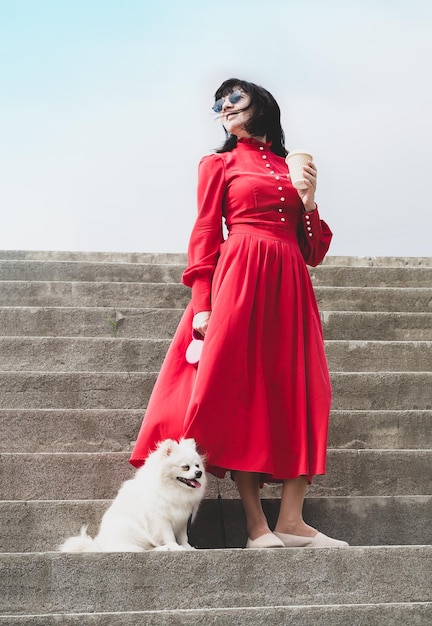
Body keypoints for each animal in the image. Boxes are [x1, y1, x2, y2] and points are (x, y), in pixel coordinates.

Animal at [60, 436, 207, 548]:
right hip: (132, 530)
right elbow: (169, 535)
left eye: (197, 466)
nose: (199, 473)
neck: (174, 489)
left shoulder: (182, 518)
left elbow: (183, 537)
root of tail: (100, 546)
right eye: (185, 467)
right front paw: (175, 547)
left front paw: (187, 548)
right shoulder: (161, 518)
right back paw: (164, 548)